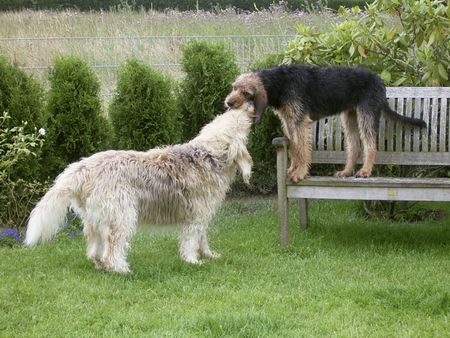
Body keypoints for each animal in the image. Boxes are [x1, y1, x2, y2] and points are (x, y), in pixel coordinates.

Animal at [24, 102, 255, 272]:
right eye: (240, 121)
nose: (248, 105)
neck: (207, 155)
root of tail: (81, 168)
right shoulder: (195, 217)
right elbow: (190, 241)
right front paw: (192, 261)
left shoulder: (201, 217)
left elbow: (202, 239)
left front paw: (208, 255)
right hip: (121, 215)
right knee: (112, 249)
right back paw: (122, 270)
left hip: (97, 218)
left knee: (95, 251)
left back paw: (102, 266)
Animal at [225, 65, 426, 184]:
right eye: (234, 87)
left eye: (246, 93)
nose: (228, 102)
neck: (279, 83)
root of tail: (380, 80)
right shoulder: (289, 122)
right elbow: (294, 148)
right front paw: (292, 169)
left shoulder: (300, 122)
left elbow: (302, 149)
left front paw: (300, 172)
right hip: (350, 117)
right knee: (354, 146)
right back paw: (346, 172)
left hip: (366, 115)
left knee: (370, 145)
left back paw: (365, 171)